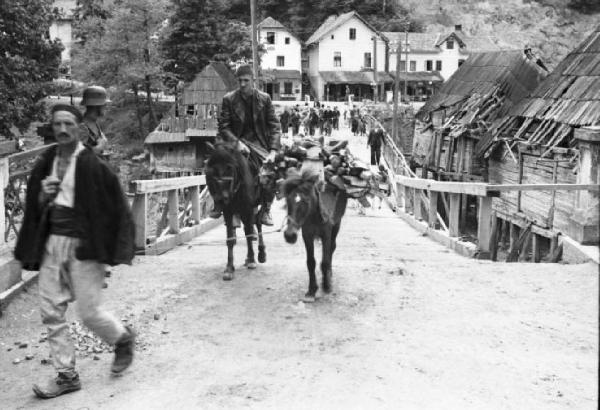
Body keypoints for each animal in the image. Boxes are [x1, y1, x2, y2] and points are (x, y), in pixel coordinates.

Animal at [205, 146, 266, 280]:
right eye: (212, 172)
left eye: (231, 168)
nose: (222, 199)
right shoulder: (228, 211)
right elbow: (231, 239)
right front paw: (229, 268)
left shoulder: (248, 208)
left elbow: (249, 234)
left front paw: (252, 260)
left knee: (257, 224)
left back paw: (261, 253)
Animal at [282, 170, 346, 302]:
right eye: (287, 200)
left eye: (306, 201)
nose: (289, 235)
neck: (314, 217)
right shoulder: (307, 235)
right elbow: (310, 262)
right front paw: (311, 290)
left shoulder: (326, 234)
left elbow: (325, 261)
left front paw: (326, 285)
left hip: (337, 225)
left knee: (332, 248)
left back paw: (329, 274)